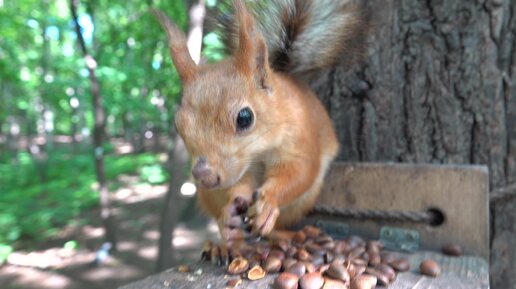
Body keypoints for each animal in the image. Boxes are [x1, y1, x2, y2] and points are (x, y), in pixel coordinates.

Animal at [155, 0, 364, 242]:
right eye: (178, 125)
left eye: (245, 117)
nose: (204, 177)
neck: (258, 152)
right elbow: (239, 185)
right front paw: (232, 207)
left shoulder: (299, 139)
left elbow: (299, 173)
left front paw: (267, 202)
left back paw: (289, 233)